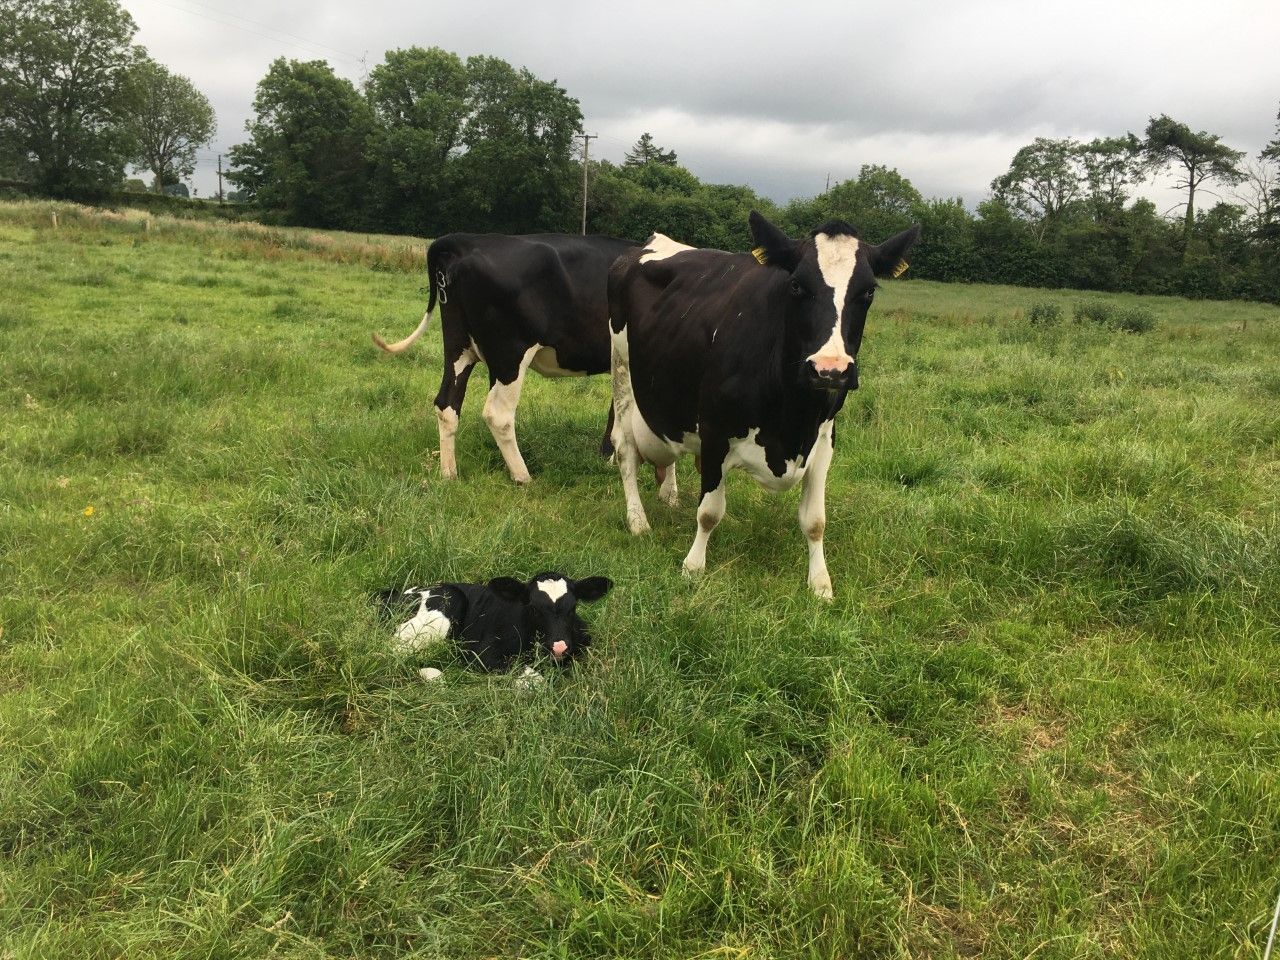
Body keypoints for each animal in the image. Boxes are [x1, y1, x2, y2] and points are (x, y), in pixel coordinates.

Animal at [372, 232, 639, 484]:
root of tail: (466, 240)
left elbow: (615, 411)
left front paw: (607, 457)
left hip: (458, 346)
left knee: (447, 403)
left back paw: (449, 474)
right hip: (510, 354)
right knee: (498, 414)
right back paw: (522, 476)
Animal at [378, 572, 614, 673]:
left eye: (573, 607)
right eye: (533, 608)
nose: (559, 647)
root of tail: (393, 594)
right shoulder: (483, 655)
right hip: (448, 601)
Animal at [607, 212, 919, 599]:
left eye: (869, 291)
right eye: (796, 285)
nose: (830, 368)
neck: (792, 420)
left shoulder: (825, 436)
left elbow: (815, 521)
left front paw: (820, 583)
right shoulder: (714, 430)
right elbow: (709, 511)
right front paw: (693, 567)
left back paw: (669, 494)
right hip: (622, 372)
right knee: (625, 450)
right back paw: (638, 520)